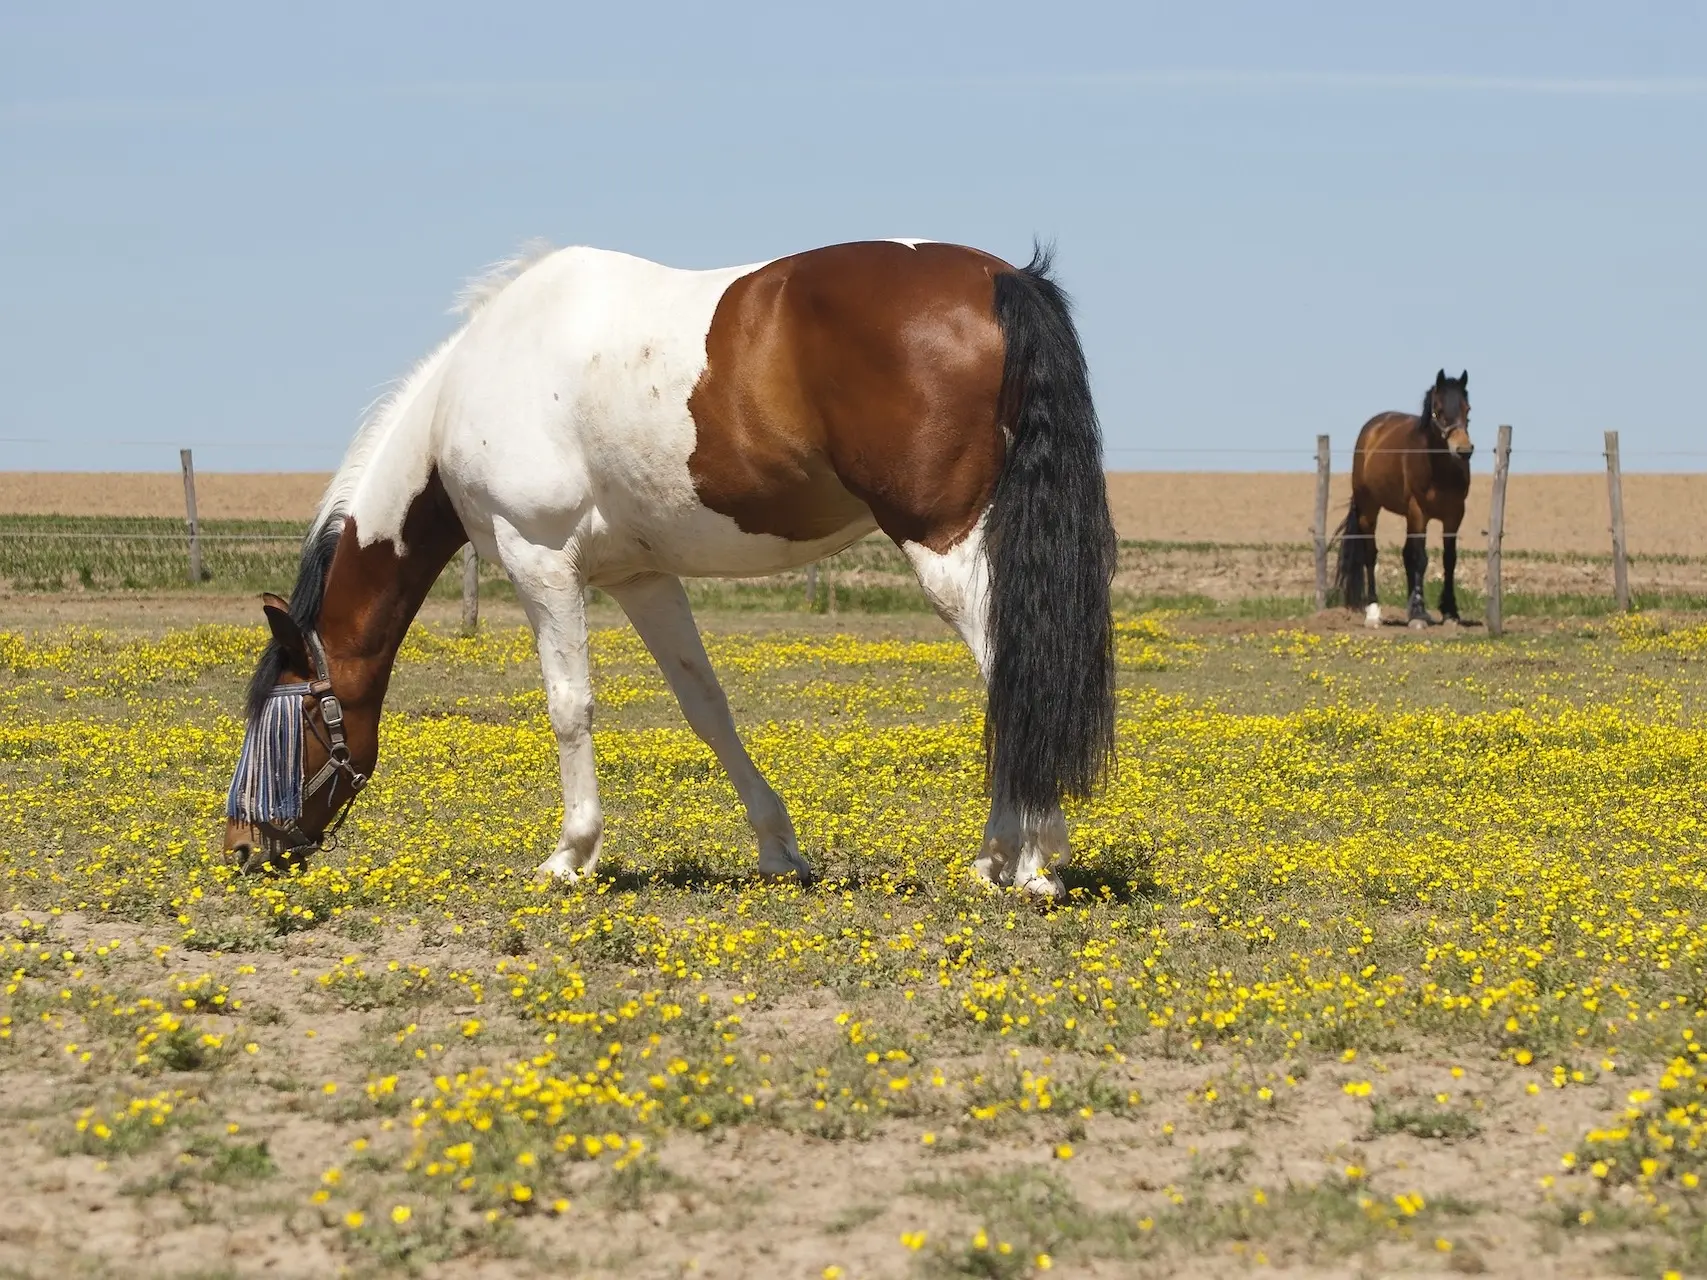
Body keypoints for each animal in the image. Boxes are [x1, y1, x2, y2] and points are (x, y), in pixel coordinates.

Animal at [216, 240, 1119, 901]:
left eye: (280, 725)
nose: (244, 849)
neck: (474, 386)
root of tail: (1002, 277)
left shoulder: (539, 560)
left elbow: (569, 707)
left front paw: (570, 854)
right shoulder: (639, 580)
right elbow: (706, 708)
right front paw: (777, 848)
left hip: (942, 548)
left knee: (1015, 675)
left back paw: (1020, 860)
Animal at [1324, 368, 1474, 628]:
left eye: (1468, 409)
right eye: (1439, 410)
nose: (1464, 450)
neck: (1438, 469)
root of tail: (1373, 428)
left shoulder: (1454, 515)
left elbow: (1449, 559)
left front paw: (1450, 612)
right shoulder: (1419, 513)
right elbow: (1421, 558)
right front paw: (1418, 614)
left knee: (1406, 555)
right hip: (1369, 510)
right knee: (1371, 555)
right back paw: (1373, 612)